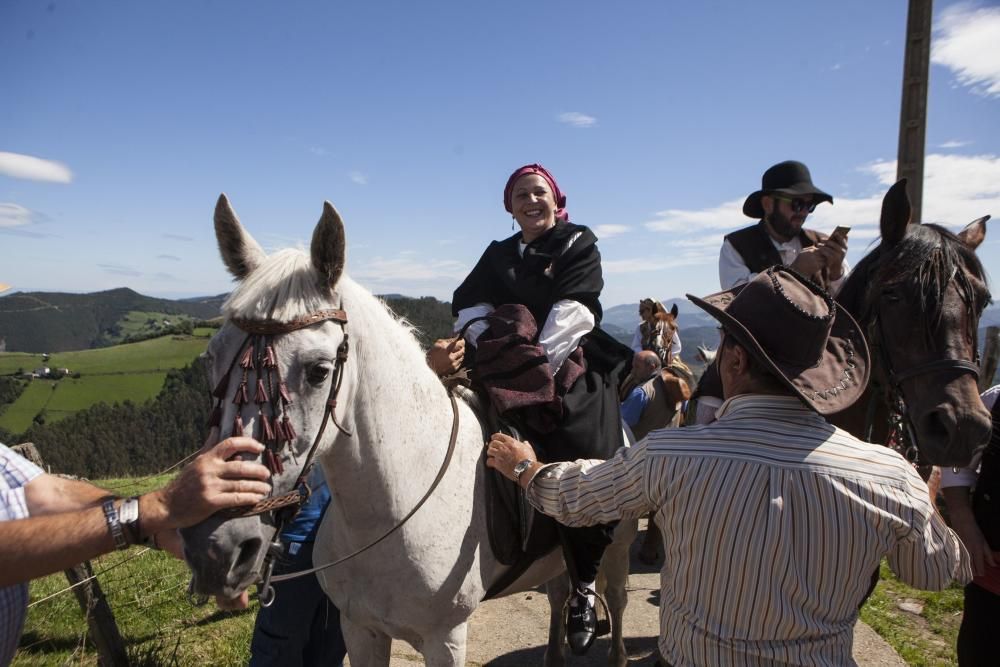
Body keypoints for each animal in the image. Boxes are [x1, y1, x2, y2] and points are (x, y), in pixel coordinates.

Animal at [181, 197, 636, 667]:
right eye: (211, 360)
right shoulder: (360, 628)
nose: (217, 548)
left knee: (613, 598)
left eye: (319, 370)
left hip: (618, 546)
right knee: (559, 590)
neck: (389, 509)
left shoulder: (446, 638)